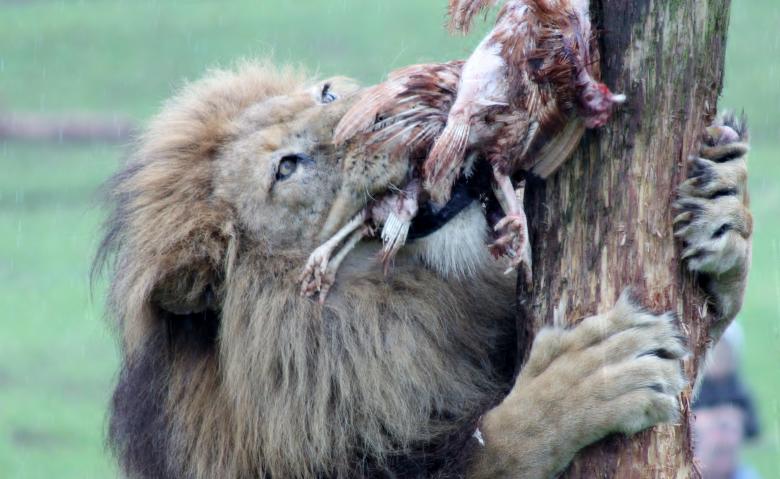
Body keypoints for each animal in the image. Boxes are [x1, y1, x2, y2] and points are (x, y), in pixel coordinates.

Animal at [95, 61, 752, 478]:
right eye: (286, 168)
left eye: (325, 95)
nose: (403, 110)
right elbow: (490, 448)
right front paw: (583, 380)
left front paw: (725, 209)